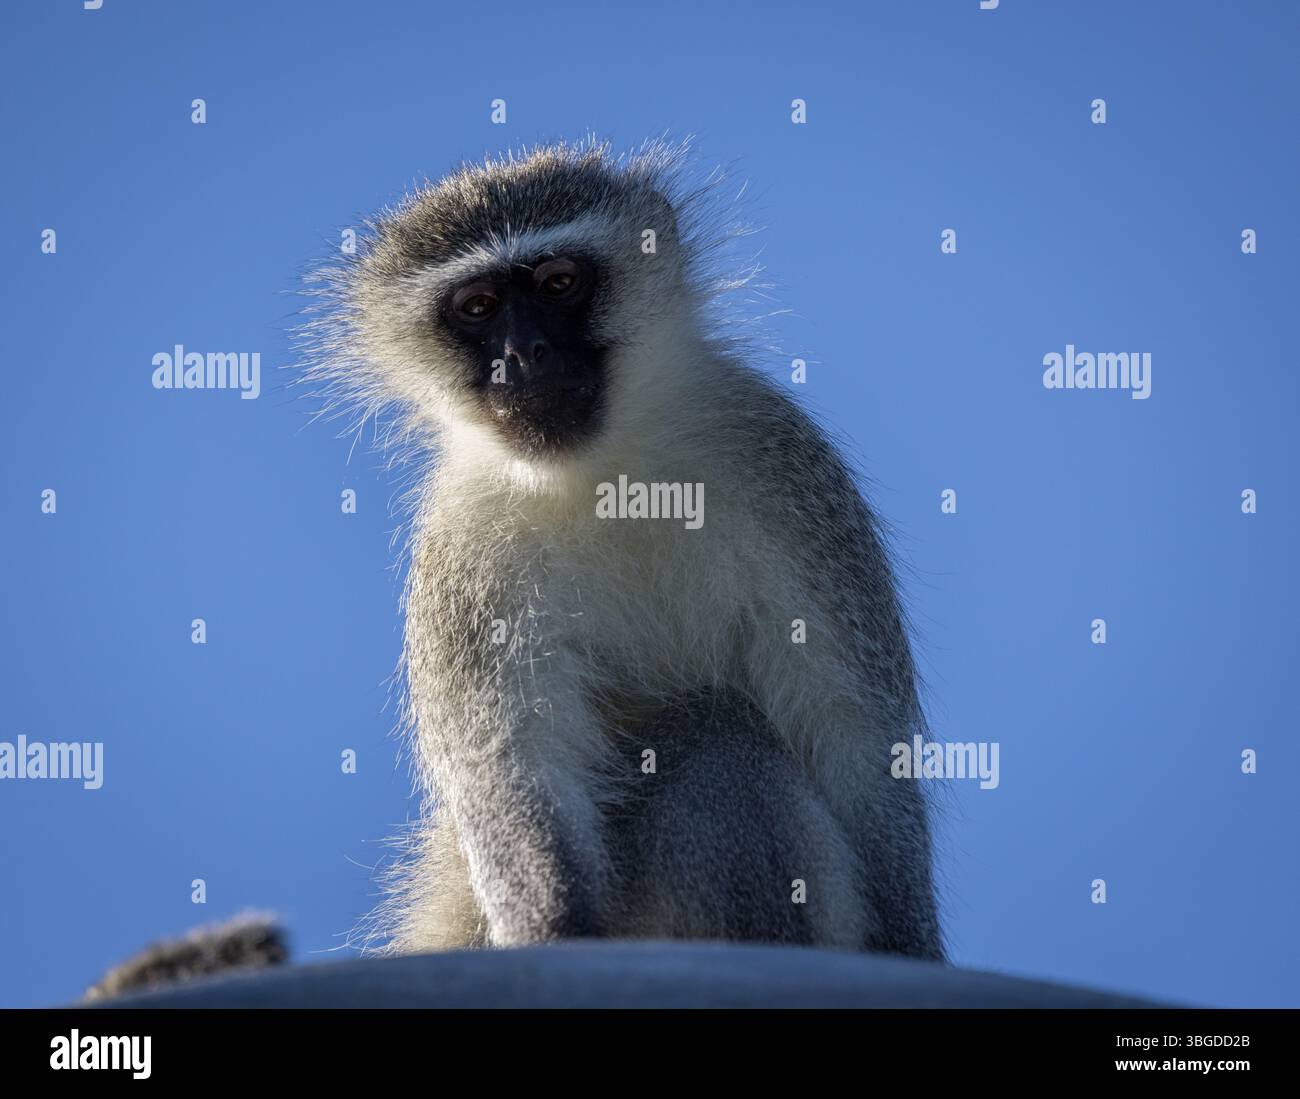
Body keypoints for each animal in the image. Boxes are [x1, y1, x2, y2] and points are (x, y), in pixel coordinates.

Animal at [301, 139, 944, 961]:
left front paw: (911, 944)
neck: (606, 474)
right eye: (477, 307)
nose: (525, 353)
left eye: (559, 283)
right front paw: (553, 926)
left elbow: (855, 735)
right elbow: (516, 765)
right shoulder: (463, 553)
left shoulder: (785, 469)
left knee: (719, 746)